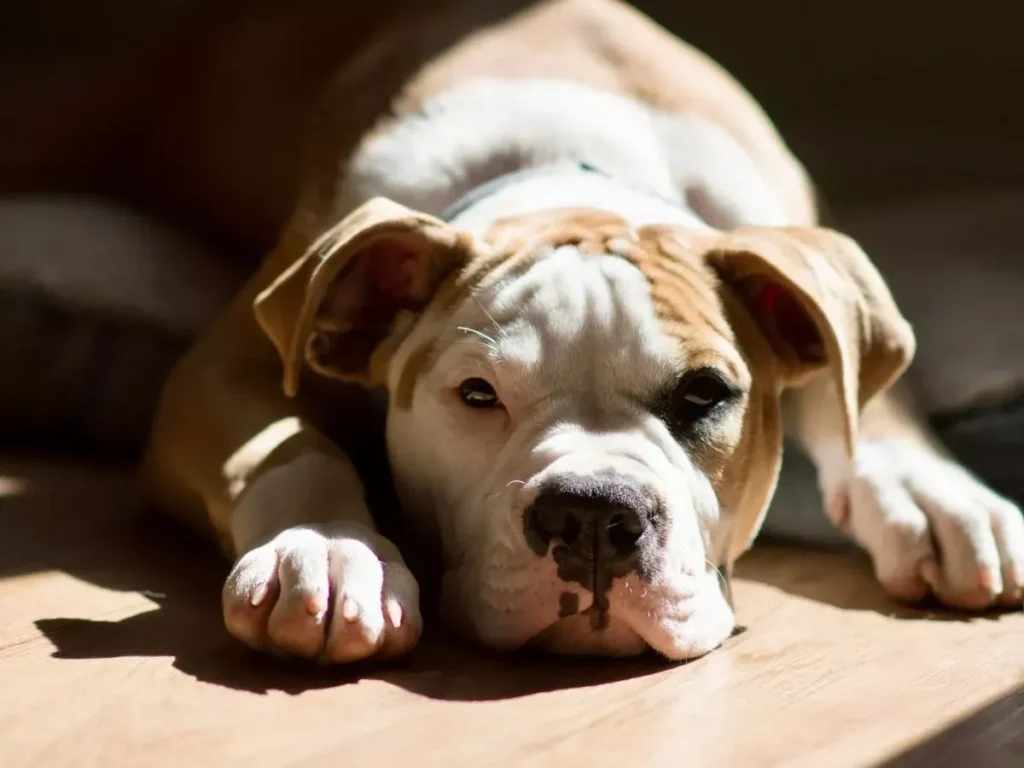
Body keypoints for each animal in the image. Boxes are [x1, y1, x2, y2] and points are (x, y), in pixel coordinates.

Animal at [146, 0, 1024, 663]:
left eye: (706, 395)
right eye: (477, 395)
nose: (594, 517)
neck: (572, 167)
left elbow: (865, 396)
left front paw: (938, 495)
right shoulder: (225, 365)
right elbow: (290, 446)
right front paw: (329, 549)